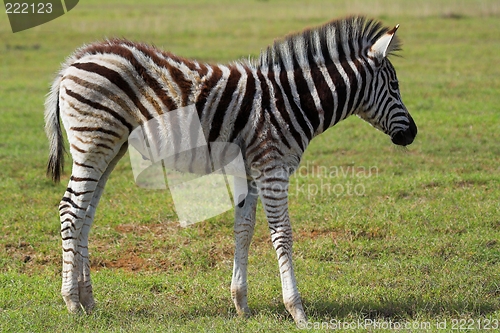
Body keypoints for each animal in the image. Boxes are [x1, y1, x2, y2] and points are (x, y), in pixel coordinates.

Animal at [45, 16, 416, 324]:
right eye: (395, 86)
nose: (412, 134)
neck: (293, 102)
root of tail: (72, 64)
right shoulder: (272, 169)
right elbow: (282, 234)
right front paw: (297, 310)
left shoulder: (249, 171)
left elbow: (244, 230)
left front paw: (241, 304)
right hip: (93, 143)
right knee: (70, 209)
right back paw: (71, 302)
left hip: (109, 149)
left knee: (86, 214)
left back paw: (88, 300)